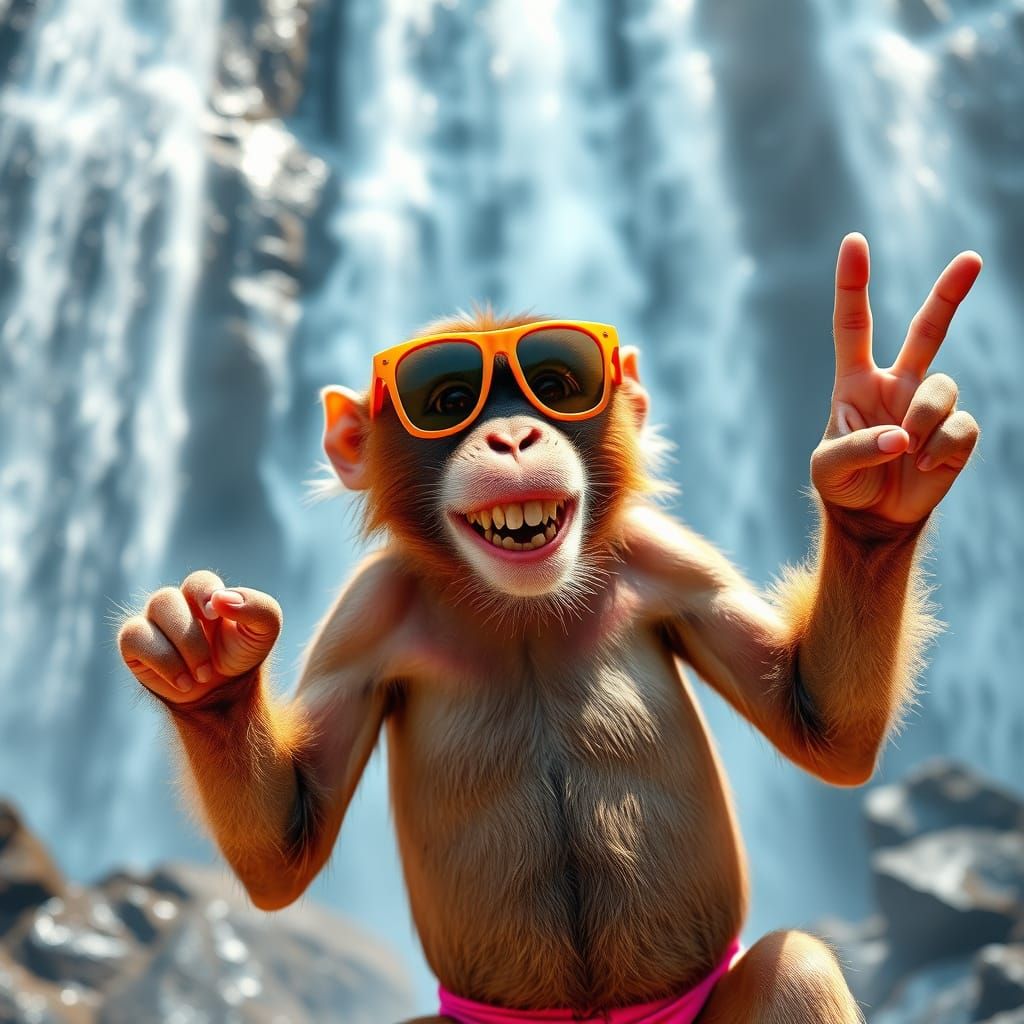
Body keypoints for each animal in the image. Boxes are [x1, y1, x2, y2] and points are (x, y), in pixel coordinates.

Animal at [118, 233, 982, 1023]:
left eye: (558, 385)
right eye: (447, 401)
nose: (511, 436)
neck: (521, 610)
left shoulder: (674, 563)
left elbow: (819, 724)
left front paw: (878, 474)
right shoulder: (361, 620)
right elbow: (287, 844)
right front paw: (207, 671)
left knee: (794, 967)